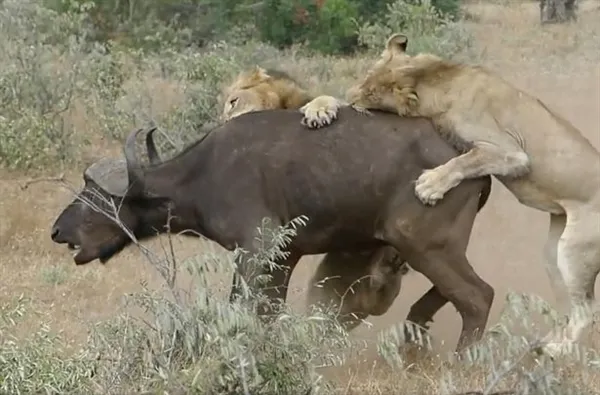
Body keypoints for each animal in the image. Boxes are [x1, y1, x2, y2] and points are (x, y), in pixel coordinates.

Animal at [50, 108, 492, 352]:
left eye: (95, 197)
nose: (57, 231)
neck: (205, 172)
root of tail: (467, 158)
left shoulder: (256, 249)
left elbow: (243, 308)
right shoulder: (284, 257)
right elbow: (268, 312)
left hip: (426, 247)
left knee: (477, 297)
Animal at [302, 32, 600, 358]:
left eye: (371, 94)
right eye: (364, 78)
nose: (352, 92)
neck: (438, 79)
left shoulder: (511, 153)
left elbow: (466, 161)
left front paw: (429, 185)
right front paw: (319, 107)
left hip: (574, 250)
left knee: (587, 311)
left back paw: (556, 350)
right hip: (552, 253)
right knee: (572, 307)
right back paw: (546, 344)